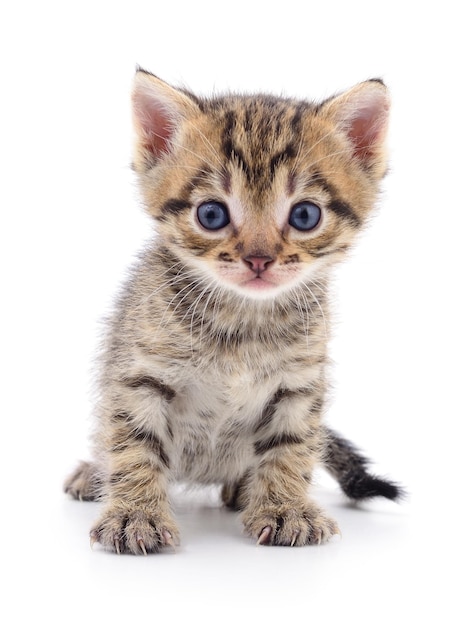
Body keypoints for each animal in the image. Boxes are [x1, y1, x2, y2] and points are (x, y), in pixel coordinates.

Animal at [64, 68, 402, 552]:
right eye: (211, 214)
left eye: (304, 215)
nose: (258, 259)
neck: (243, 321)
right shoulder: (139, 374)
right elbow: (134, 442)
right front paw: (135, 514)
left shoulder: (299, 385)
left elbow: (292, 445)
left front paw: (285, 508)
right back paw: (94, 473)